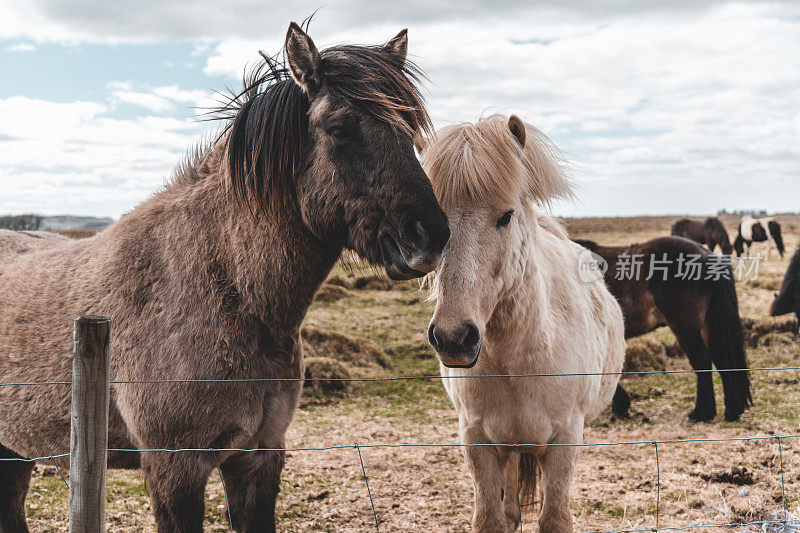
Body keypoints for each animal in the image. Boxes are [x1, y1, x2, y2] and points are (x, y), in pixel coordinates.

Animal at [0, 23, 450, 532]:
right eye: (340, 130)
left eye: (409, 131)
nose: (431, 236)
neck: (224, 291)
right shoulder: (176, 467)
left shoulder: (257, 458)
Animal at [418, 115, 624, 532]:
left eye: (506, 216)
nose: (453, 337)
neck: (520, 360)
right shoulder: (477, 440)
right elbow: (492, 519)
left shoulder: (564, 441)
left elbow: (554, 518)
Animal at [576, 237, 752, 424]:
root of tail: (707, 255)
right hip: (708, 325)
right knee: (721, 359)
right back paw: (732, 411)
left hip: (684, 326)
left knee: (702, 360)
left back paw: (700, 413)